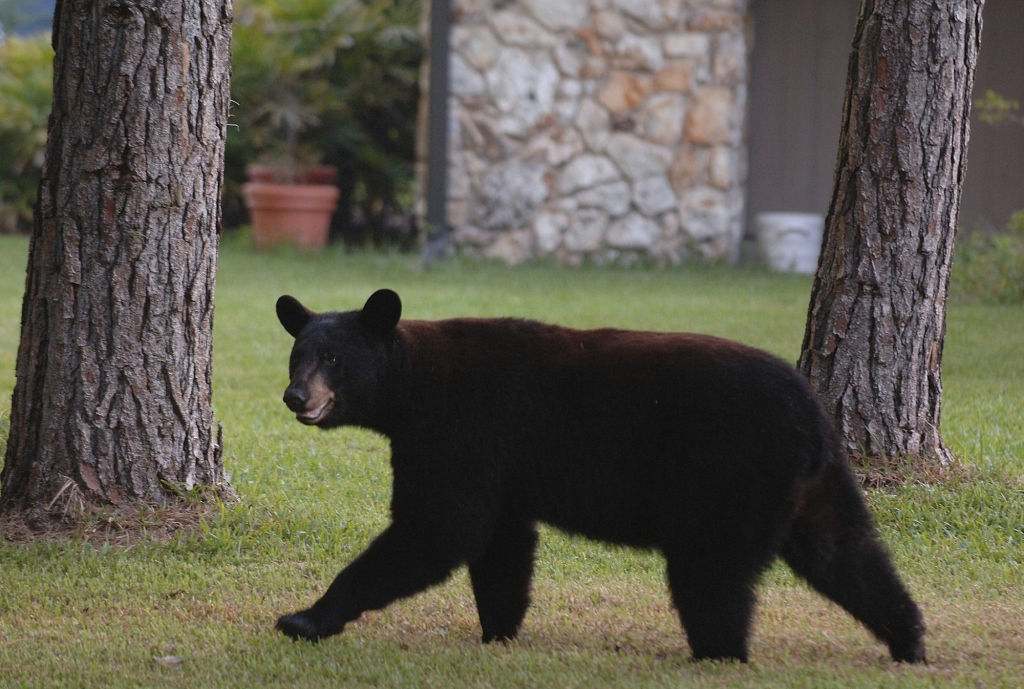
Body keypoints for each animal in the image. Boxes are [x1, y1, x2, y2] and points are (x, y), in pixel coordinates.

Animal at [273, 289, 926, 664]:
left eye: (332, 358)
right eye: (296, 355)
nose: (295, 396)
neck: (410, 384)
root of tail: (811, 416)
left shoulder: (459, 432)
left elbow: (438, 528)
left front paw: (305, 618)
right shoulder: (500, 464)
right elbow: (502, 545)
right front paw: (499, 632)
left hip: (728, 473)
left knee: (711, 574)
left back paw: (717, 654)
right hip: (817, 483)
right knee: (845, 551)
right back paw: (909, 640)